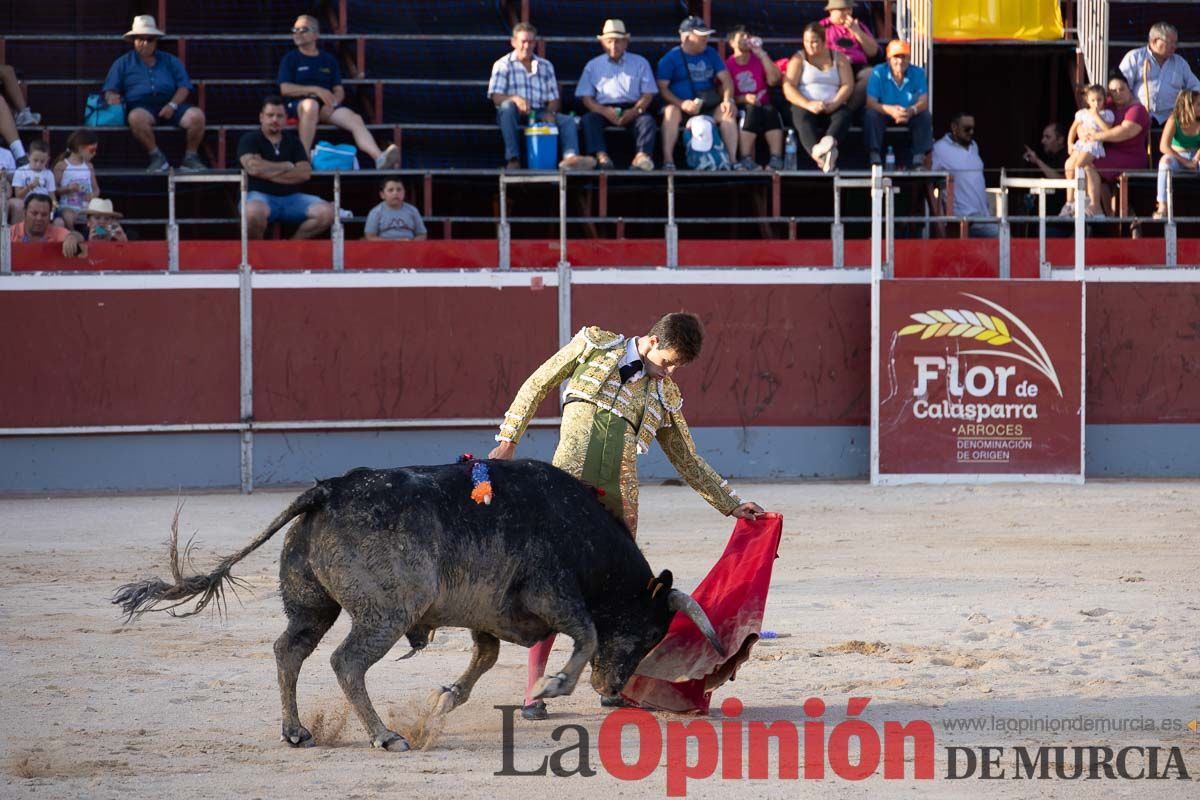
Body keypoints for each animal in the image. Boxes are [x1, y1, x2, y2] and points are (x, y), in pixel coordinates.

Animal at [114, 460, 720, 753]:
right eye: (649, 633)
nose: (613, 690)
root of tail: (327, 491)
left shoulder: (488, 613)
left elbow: (486, 655)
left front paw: (446, 696)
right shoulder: (551, 592)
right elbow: (588, 632)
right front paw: (553, 687)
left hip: (312, 607)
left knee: (289, 649)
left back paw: (297, 731)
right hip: (387, 614)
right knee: (345, 661)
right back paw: (386, 736)